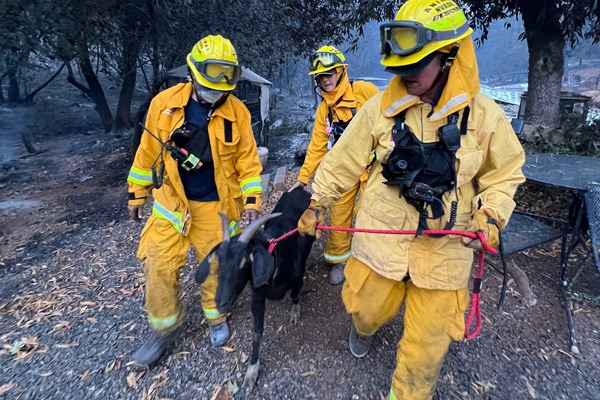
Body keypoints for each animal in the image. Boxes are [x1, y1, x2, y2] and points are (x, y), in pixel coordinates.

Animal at [195, 188, 316, 390]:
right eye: (219, 261)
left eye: (245, 263)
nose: (220, 302)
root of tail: (299, 189)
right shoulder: (257, 295)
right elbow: (257, 331)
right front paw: (252, 371)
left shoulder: (298, 277)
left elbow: (295, 294)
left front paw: (295, 313)